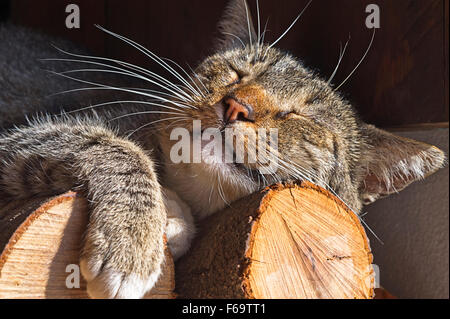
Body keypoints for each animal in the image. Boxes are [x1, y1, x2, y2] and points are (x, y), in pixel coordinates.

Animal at [0, 0, 442, 300]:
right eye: (238, 72)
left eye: (299, 115)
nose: (236, 105)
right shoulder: (20, 138)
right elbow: (118, 149)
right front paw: (133, 242)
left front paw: (168, 223)